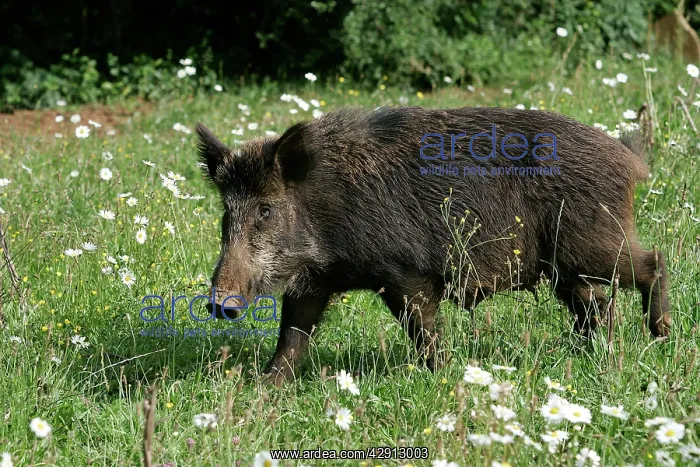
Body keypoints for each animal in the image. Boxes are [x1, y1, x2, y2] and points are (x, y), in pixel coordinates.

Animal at [195, 106, 671, 385]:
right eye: (226, 212)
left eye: (266, 210)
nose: (220, 303)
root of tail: (628, 157)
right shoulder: (313, 283)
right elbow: (292, 337)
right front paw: (263, 390)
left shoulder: (405, 272)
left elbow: (422, 328)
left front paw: (443, 377)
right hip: (563, 268)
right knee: (597, 303)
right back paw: (586, 354)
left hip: (592, 243)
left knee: (653, 262)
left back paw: (661, 335)